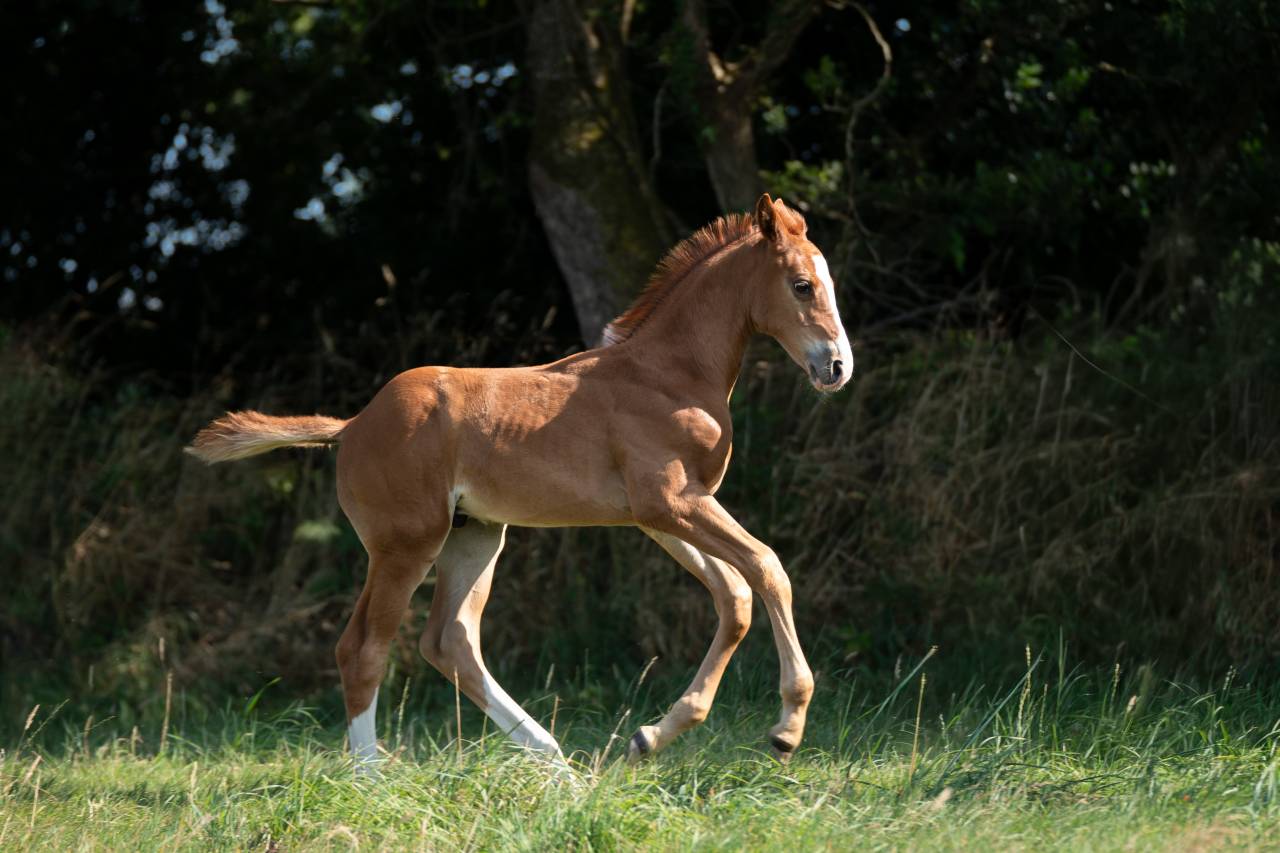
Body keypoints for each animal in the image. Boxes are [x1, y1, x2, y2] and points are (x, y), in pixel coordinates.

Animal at [186, 193, 853, 769]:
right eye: (802, 285)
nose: (837, 367)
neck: (669, 374)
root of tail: (351, 426)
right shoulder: (673, 503)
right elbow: (767, 567)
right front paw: (787, 728)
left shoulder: (663, 514)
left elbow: (734, 597)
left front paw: (650, 737)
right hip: (406, 544)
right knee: (365, 648)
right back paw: (371, 781)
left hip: (476, 535)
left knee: (449, 641)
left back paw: (554, 761)